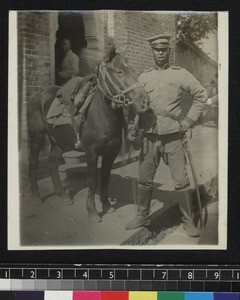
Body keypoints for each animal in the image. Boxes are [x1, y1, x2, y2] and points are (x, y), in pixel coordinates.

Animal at [27, 45, 149, 223]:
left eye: (133, 71)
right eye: (119, 72)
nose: (145, 102)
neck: (101, 113)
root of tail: (37, 95)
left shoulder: (111, 152)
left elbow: (104, 177)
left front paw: (107, 206)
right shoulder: (91, 152)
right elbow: (92, 180)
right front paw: (92, 211)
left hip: (59, 141)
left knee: (52, 162)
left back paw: (63, 196)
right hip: (36, 136)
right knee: (34, 162)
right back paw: (36, 197)